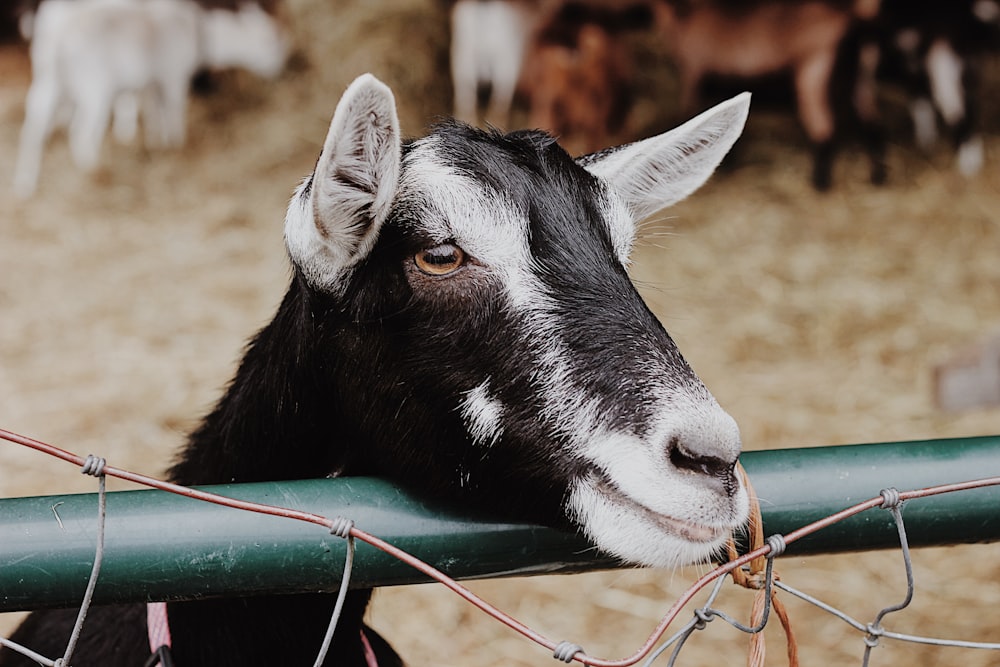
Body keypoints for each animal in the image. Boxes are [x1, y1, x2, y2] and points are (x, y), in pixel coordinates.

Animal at [11, 0, 290, 198]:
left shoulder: (152, 83)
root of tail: (58, 43)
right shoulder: (173, 76)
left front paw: (158, 143)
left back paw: (25, 183)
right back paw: (91, 175)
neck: (199, 33)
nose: (281, 70)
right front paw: (177, 145)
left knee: (34, 126)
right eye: (274, 45)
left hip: (48, 82)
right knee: (81, 133)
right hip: (95, 89)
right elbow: (174, 111)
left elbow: (155, 112)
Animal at [656, 0, 884, 190]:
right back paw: (876, 177)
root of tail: (853, 21)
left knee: (824, 129)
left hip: (815, 73)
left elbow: (691, 117)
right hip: (862, 75)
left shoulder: (693, 73)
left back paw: (819, 184)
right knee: (870, 123)